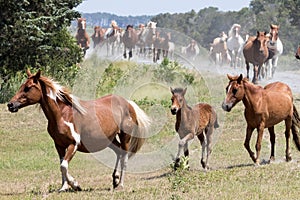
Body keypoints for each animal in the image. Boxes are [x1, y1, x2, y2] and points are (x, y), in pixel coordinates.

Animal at [6, 69, 152, 191]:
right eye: (21, 86)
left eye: (28, 88)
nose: (10, 105)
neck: (62, 115)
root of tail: (128, 103)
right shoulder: (59, 145)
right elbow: (62, 165)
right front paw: (63, 187)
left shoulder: (73, 144)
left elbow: (64, 166)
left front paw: (75, 185)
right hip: (109, 140)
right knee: (119, 153)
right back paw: (115, 180)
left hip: (125, 137)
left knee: (124, 158)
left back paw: (120, 185)